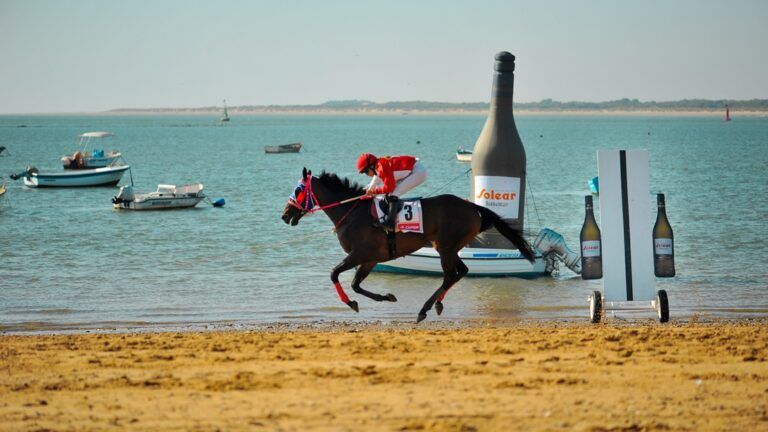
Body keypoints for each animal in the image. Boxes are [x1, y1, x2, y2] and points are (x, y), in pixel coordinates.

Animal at [281, 168, 536, 323]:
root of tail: (474, 208)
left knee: (449, 275)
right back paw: (437, 305)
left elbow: (335, 274)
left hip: (445, 248)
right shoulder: (370, 259)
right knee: (461, 272)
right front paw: (386, 297)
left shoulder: (360, 254)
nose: (285, 215)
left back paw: (424, 309)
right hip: (450, 247)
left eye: (298, 190)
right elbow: (355, 284)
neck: (352, 213)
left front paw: (351, 303)